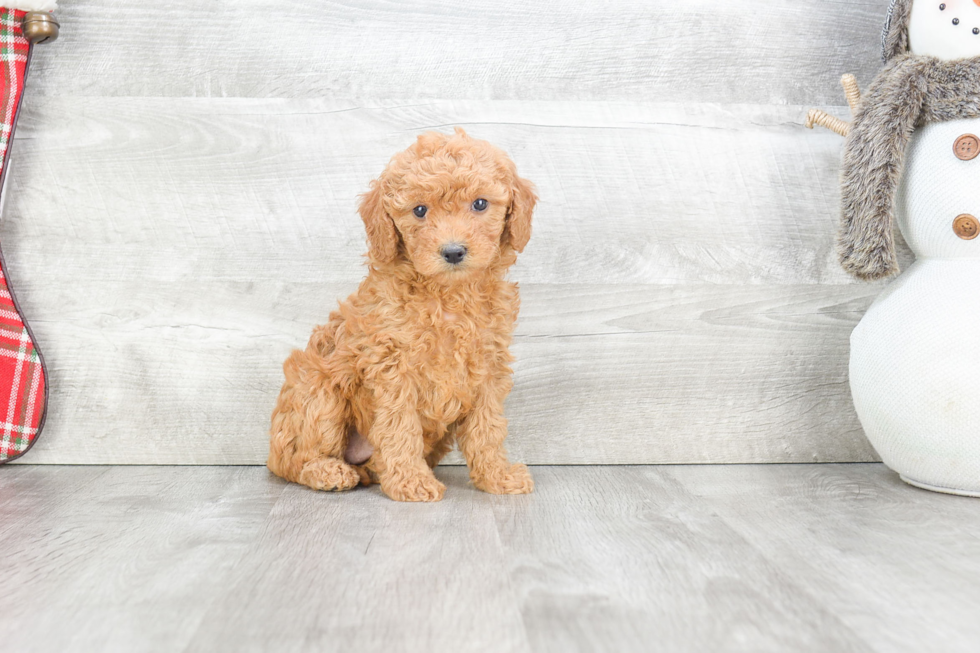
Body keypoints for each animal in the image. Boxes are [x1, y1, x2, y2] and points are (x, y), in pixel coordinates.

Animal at [268, 129, 536, 504]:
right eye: (419, 210)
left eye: (480, 204)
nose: (453, 252)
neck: (448, 297)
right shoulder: (393, 367)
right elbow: (400, 427)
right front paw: (412, 482)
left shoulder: (488, 367)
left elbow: (488, 428)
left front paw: (497, 476)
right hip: (318, 393)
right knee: (291, 460)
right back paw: (328, 472)